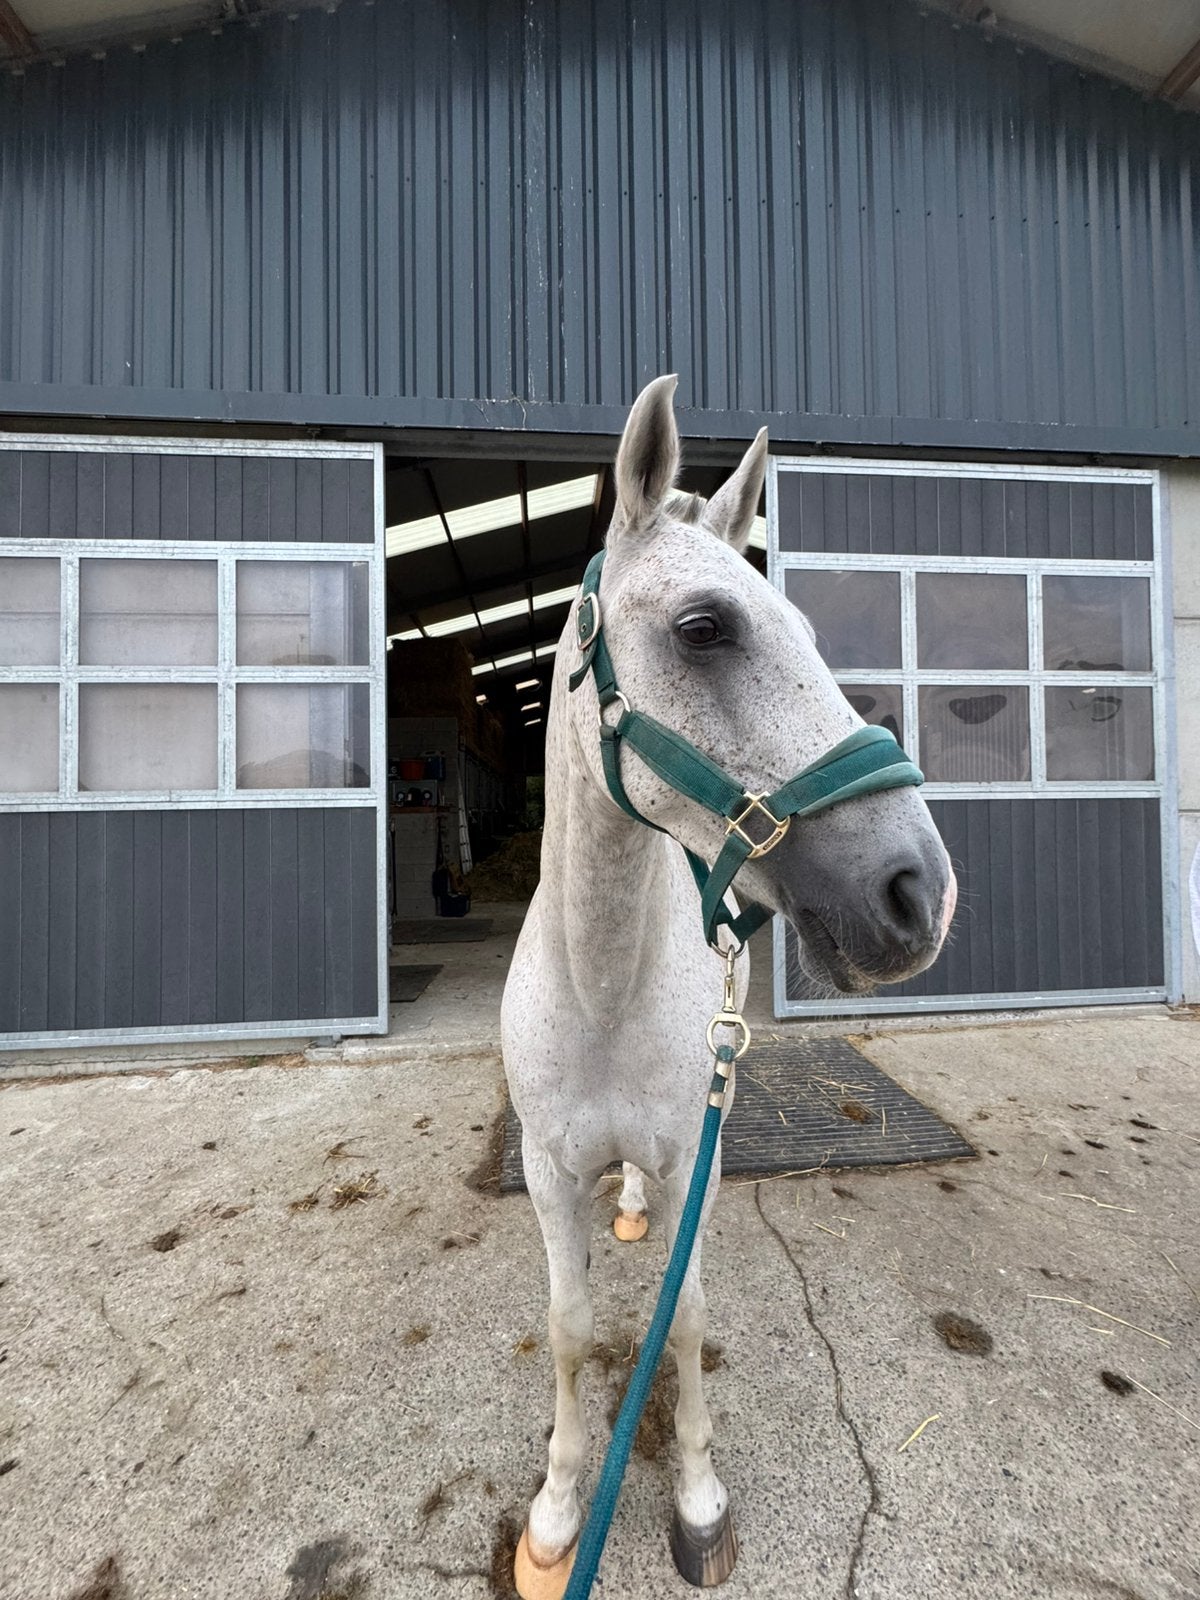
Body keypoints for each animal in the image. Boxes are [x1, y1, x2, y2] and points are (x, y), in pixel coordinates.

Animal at [501, 375, 956, 1597]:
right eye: (704, 628)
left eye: (808, 630)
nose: (919, 892)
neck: (600, 985)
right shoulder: (547, 1170)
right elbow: (569, 1327)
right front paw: (556, 1514)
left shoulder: (690, 1157)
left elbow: (687, 1312)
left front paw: (700, 1503)